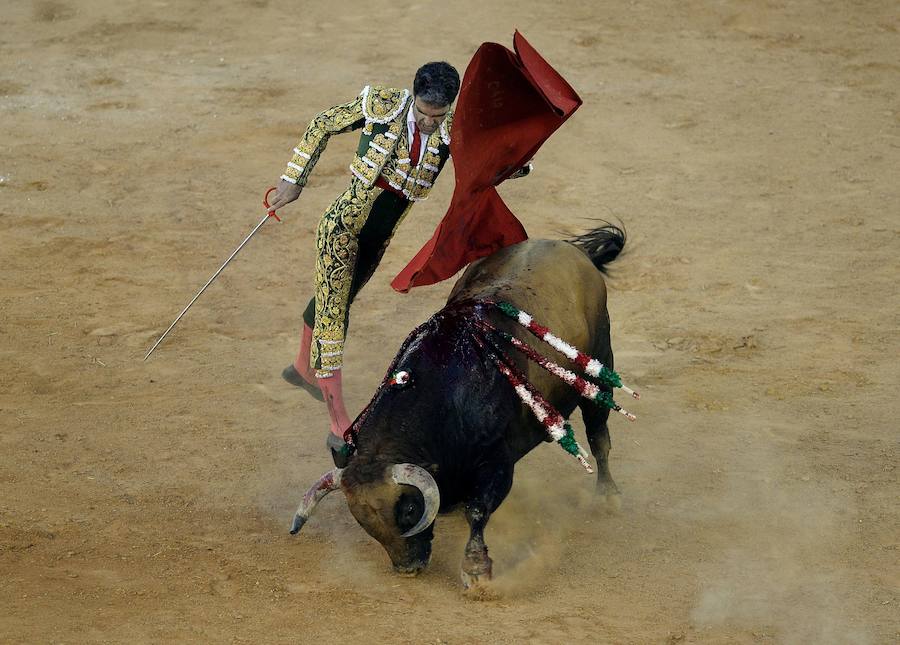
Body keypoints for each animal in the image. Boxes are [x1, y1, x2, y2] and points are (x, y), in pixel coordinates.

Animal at [292, 225, 628, 588]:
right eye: (363, 521)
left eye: (408, 511)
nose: (407, 568)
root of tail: (571, 250)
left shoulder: (497, 460)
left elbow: (478, 510)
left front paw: (476, 570)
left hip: (600, 367)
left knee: (598, 436)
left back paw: (608, 497)